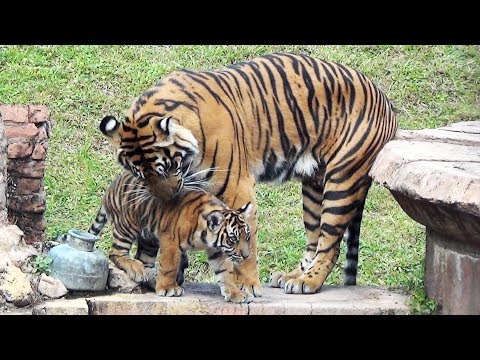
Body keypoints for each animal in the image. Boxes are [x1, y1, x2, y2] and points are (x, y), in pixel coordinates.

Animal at [100, 52, 398, 296]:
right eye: (140, 174)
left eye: (166, 167)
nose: (166, 199)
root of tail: (387, 101)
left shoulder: (237, 190)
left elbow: (247, 244)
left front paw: (247, 285)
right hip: (314, 187)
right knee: (314, 239)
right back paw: (292, 277)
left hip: (342, 181)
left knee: (330, 244)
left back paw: (308, 282)